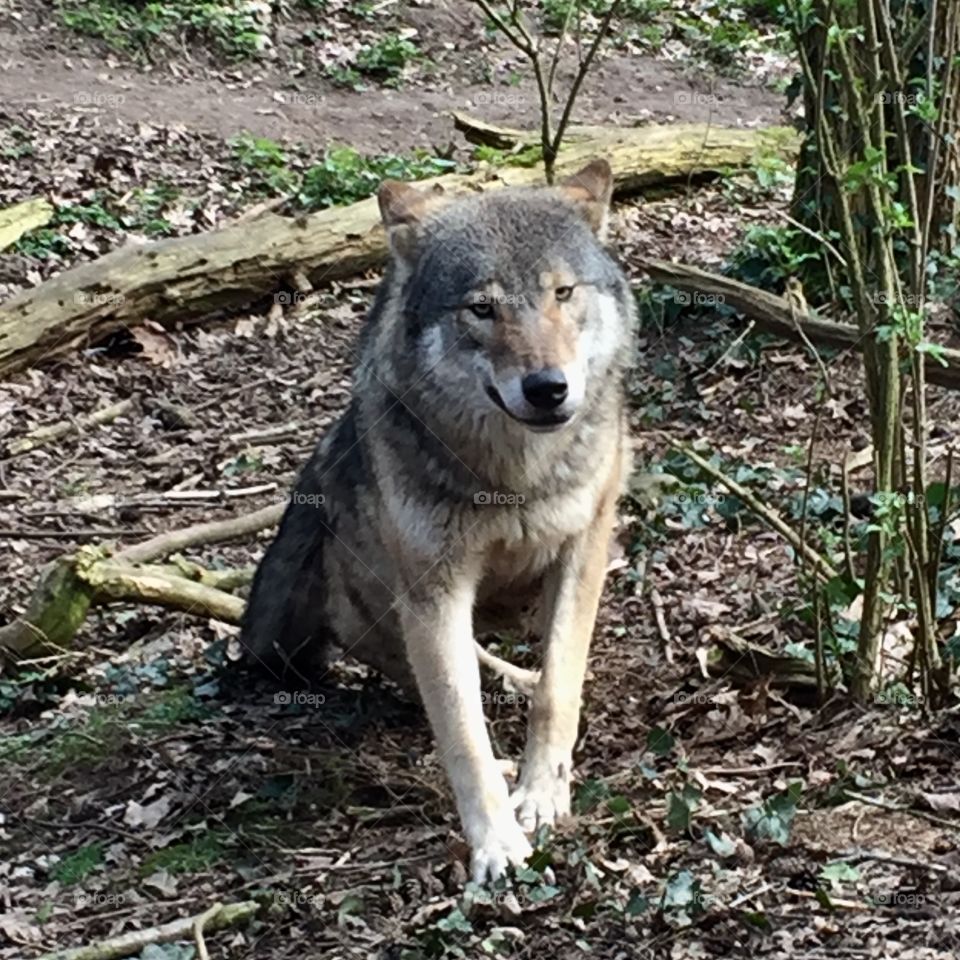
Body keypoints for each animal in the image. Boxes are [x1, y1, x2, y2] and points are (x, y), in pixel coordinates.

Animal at [241, 159, 636, 882]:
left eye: (562, 293)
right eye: (481, 308)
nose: (548, 388)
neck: (515, 483)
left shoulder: (584, 548)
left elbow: (558, 687)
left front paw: (542, 795)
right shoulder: (435, 590)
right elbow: (460, 725)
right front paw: (496, 841)